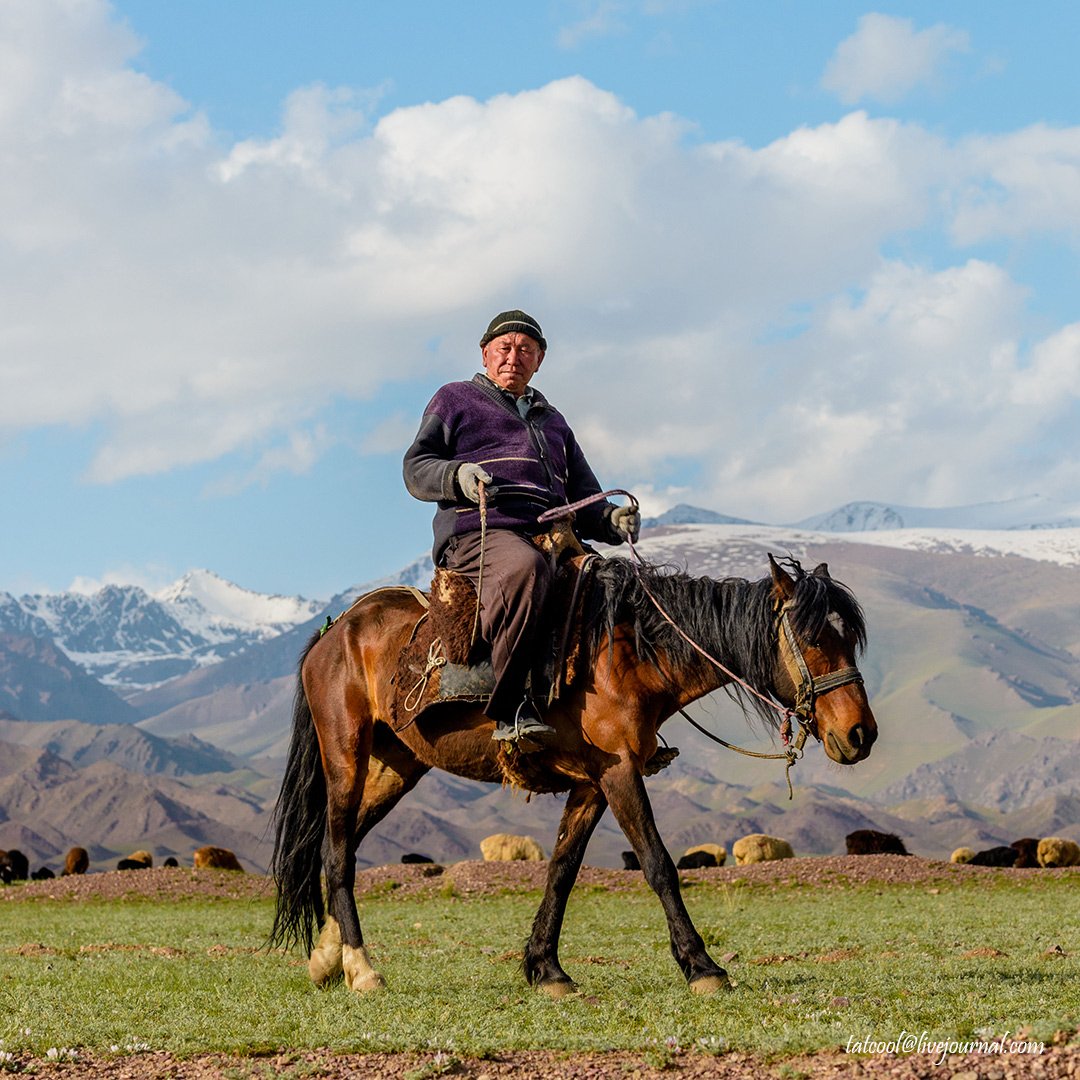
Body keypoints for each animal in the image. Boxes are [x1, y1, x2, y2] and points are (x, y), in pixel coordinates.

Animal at [270, 557, 876, 993]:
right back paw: (362, 969)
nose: (861, 735)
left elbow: (561, 870)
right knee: (338, 850)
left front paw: (545, 969)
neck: (630, 655)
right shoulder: (620, 772)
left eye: (850, 638)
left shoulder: (592, 783)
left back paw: (328, 959)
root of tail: (334, 633)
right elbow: (658, 865)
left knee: (338, 845)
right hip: (346, 754)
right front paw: (703, 967)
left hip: (398, 766)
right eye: (815, 638)